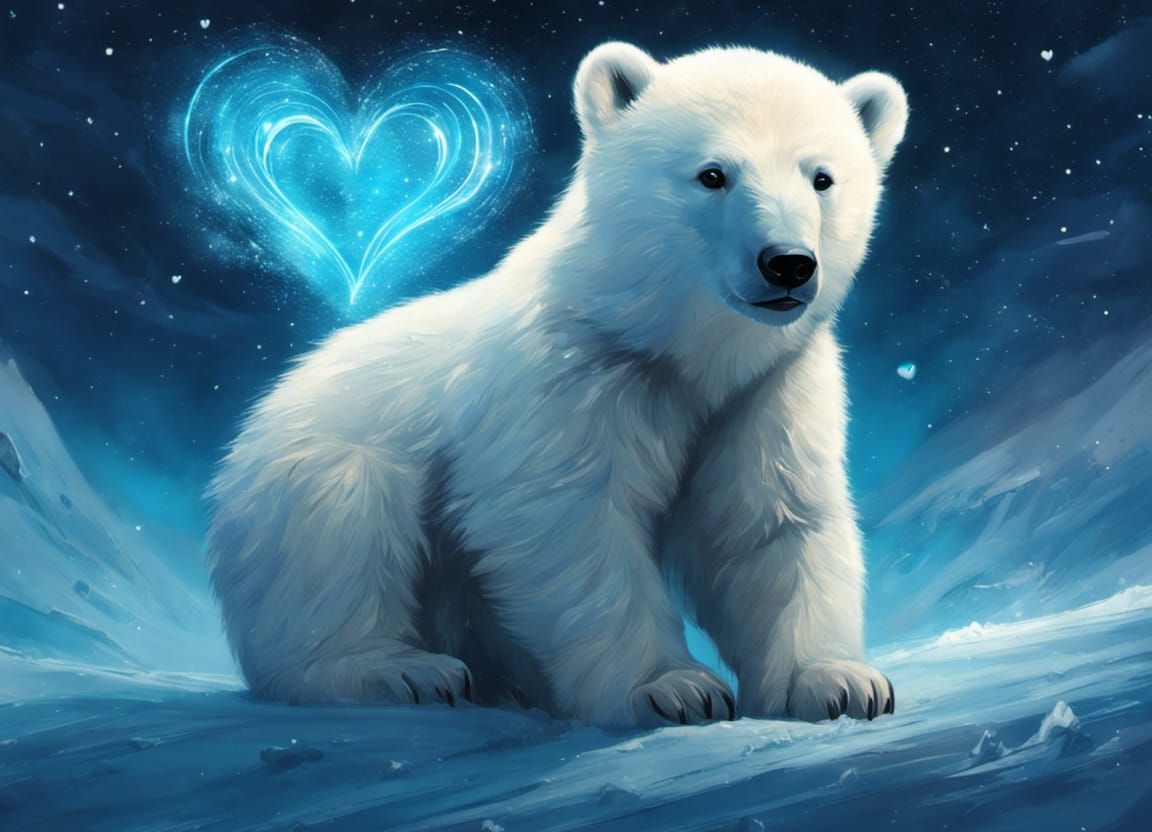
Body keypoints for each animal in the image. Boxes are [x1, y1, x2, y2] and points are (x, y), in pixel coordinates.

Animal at [206, 42, 908, 728]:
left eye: (822, 177)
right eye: (713, 174)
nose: (788, 264)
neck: (676, 347)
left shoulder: (767, 390)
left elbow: (771, 521)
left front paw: (838, 681)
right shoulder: (567, 380)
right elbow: (573, 522)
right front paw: (672, 688)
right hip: (302, 477)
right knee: (344, 525)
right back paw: (405, 670)